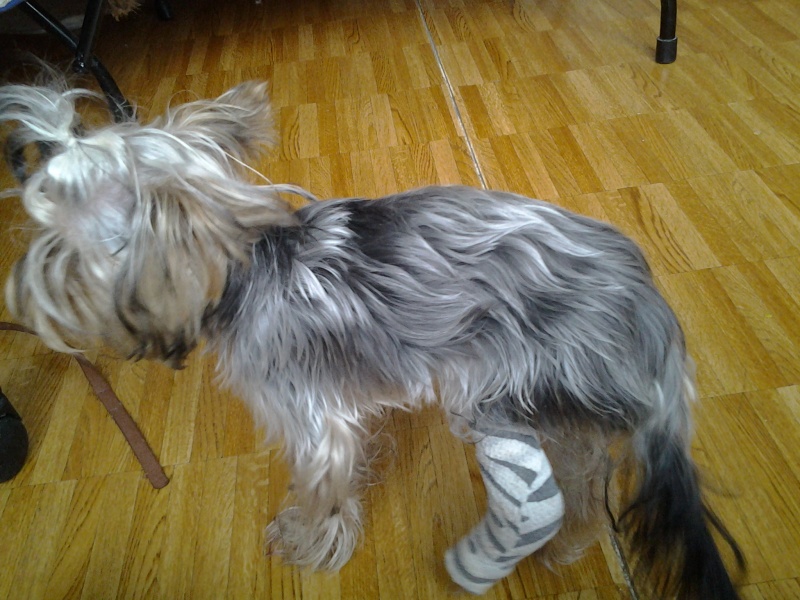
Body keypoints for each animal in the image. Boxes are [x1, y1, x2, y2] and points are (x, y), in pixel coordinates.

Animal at [0, 78, 743, 598]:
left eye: (55, 242)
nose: (22, 291)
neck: (241, 268)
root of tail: (655, 317)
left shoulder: (310, 419)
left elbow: (320, 494)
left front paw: (303, 542)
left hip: (515, 383)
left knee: (581, 470)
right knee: (590, 477)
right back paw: (571, 543)